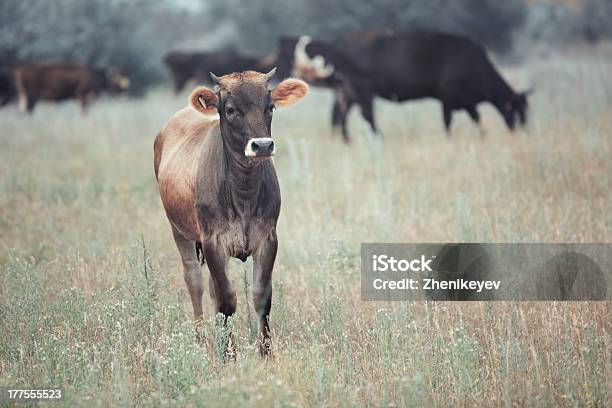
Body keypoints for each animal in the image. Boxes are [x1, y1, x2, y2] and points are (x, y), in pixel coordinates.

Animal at [153, 68, 306, 356]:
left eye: (270, 106)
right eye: (231, 109)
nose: (262, 145)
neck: (243, 193)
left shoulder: (268, 239)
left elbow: (261, 297)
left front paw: (265, 353)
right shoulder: (212, 241)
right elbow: (226, 300)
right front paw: (228, 356)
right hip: (178, 230)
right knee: (194, 281)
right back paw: (201, 339)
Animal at [278, 30, 532, 142]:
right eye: (518, 111)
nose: (522, 132)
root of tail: (341, 42)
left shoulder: (467, 101)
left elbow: (477, 118)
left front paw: (483, 136)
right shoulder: (448, 95)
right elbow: (448, 121)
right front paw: (450, 140)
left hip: (347, 90)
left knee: (340, 115)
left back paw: (347, 140)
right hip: (362, 89)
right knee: (366, 116)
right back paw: (379, 139)